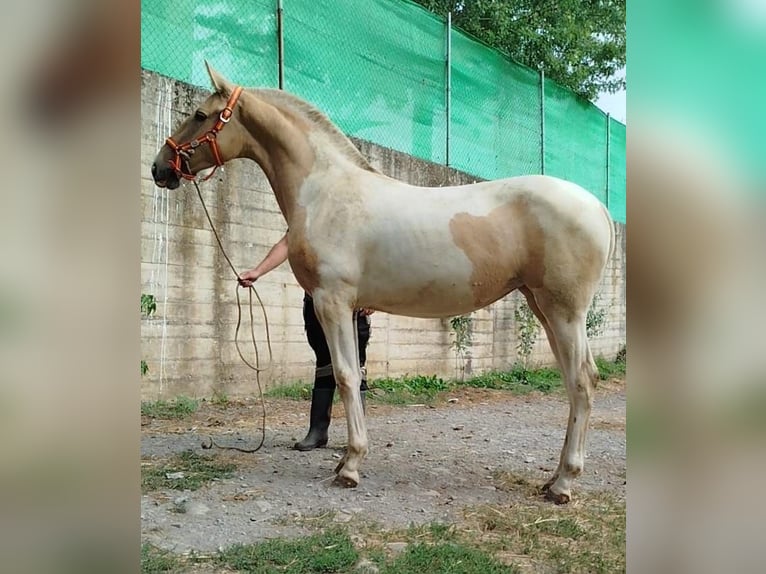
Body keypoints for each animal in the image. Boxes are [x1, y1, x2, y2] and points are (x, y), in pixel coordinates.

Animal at [151, 62, 615, 504]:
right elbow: (351, 377)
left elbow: (344, 376)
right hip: (543, 308)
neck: (325, 190)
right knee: (574, 382)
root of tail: (598, 208)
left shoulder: (332, 302)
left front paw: (351, 466)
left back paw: (563, 484)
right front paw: (345, 460)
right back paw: (553, 478)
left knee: (582, 381)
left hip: (564, 311)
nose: (160, 168)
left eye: (199, 114)